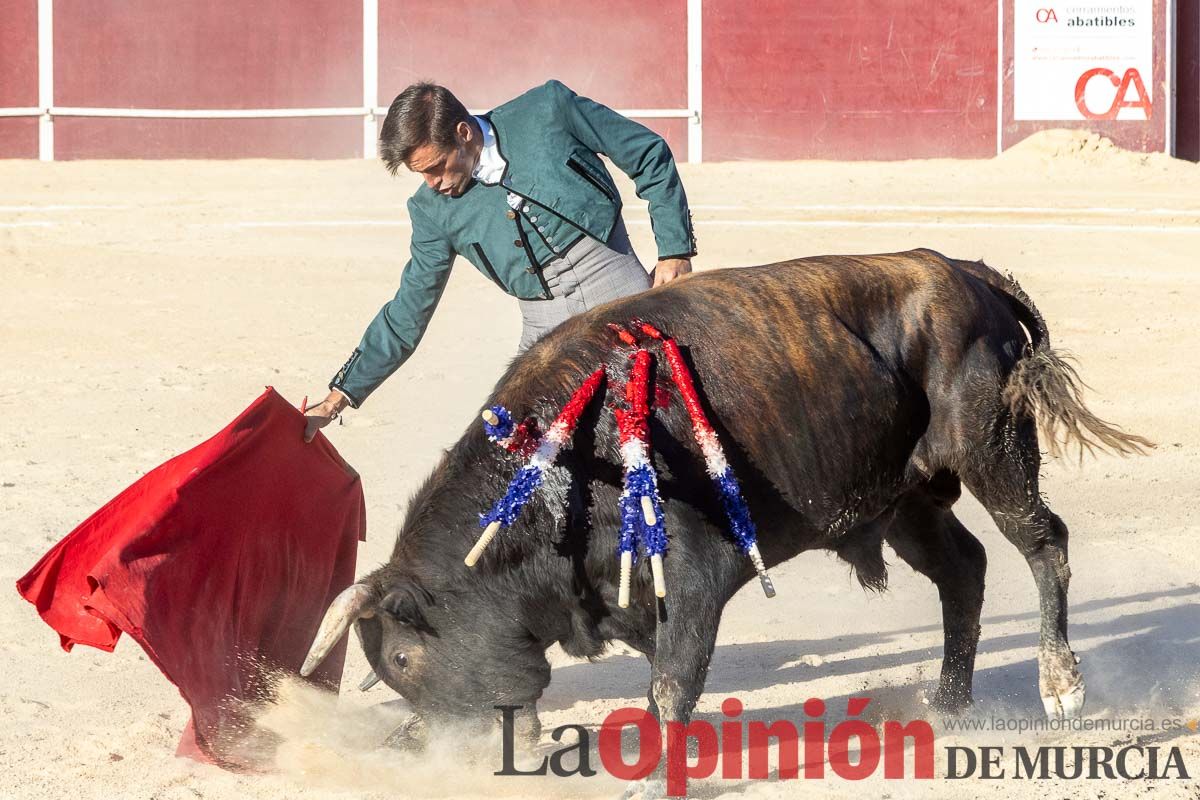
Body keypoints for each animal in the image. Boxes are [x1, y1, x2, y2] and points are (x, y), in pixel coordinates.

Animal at [300, 247, 1142, 772]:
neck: (554, 476)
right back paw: (947, 709)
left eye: (401, 659)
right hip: (904, 497)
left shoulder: (695, 579)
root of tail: (968, 273)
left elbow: (673, 686)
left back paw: (1059, 685)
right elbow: (664, 681)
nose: (451, 751)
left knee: (1043, 544)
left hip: (993, 452)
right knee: (963, 570)